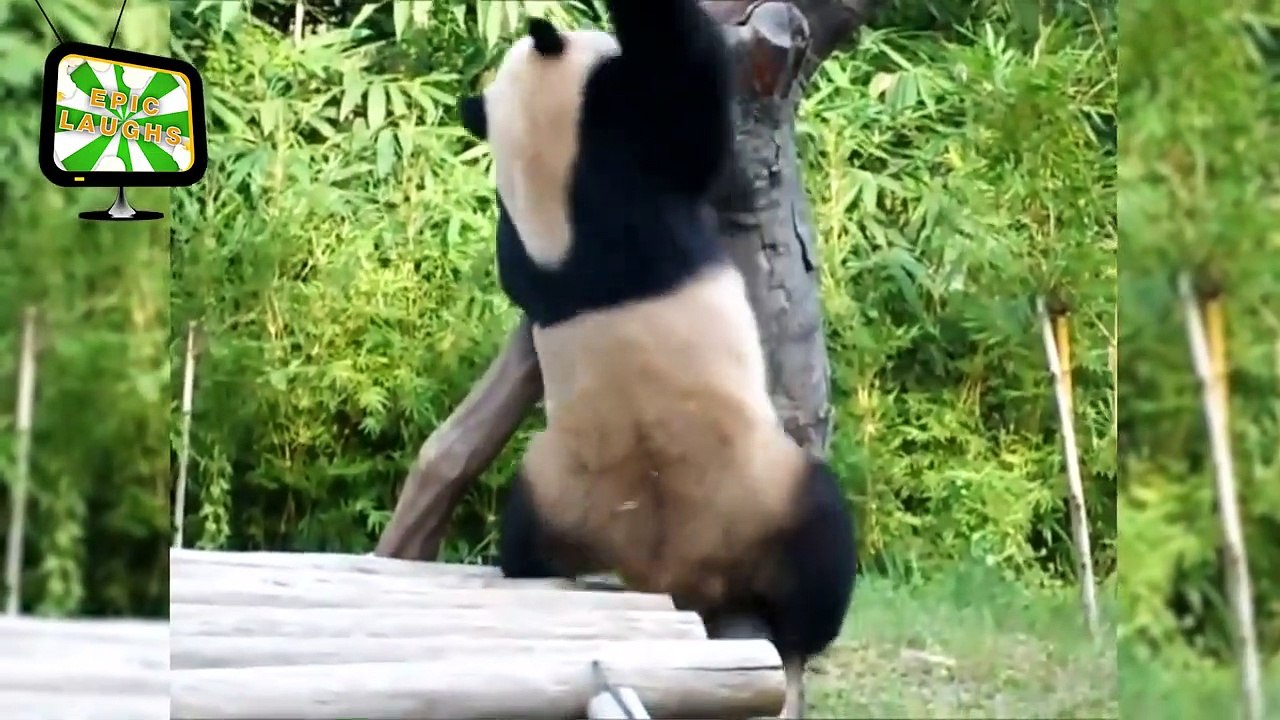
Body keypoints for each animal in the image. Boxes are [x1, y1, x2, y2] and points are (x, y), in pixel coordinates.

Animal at [456, 0, 857, 716]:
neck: (551, 181)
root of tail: (672, 570)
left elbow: (515, 275)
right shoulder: (637, 158)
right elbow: (696, 109)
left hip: (557, 489)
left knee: (523, 545)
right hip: (760, 488)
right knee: (821, 542)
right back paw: (802, 634)